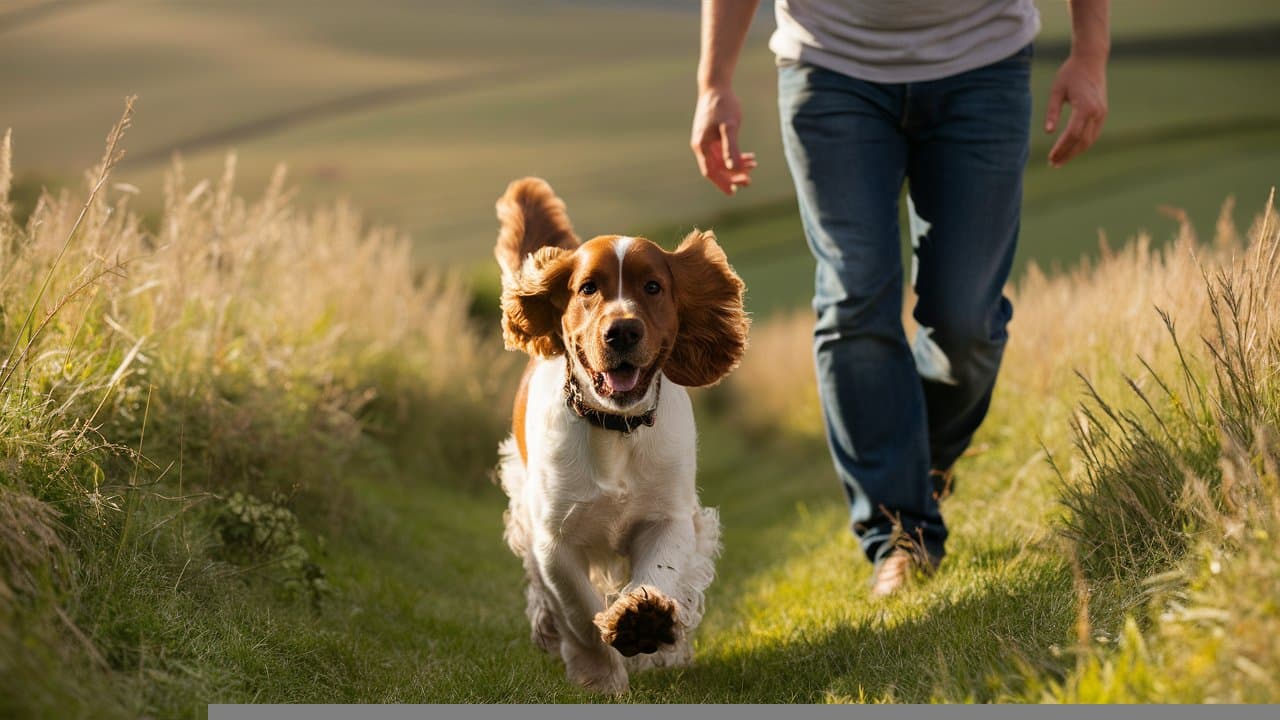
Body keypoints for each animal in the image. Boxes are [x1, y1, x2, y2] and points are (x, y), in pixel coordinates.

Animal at [488, 176, 747, 691]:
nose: (622, 331)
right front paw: (599, 676)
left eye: (653, 286)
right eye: (588, 287)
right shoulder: (553, 540)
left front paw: (643, 620)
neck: (615, 428)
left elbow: (660, 572)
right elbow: (578, 611)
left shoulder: (668, 516)